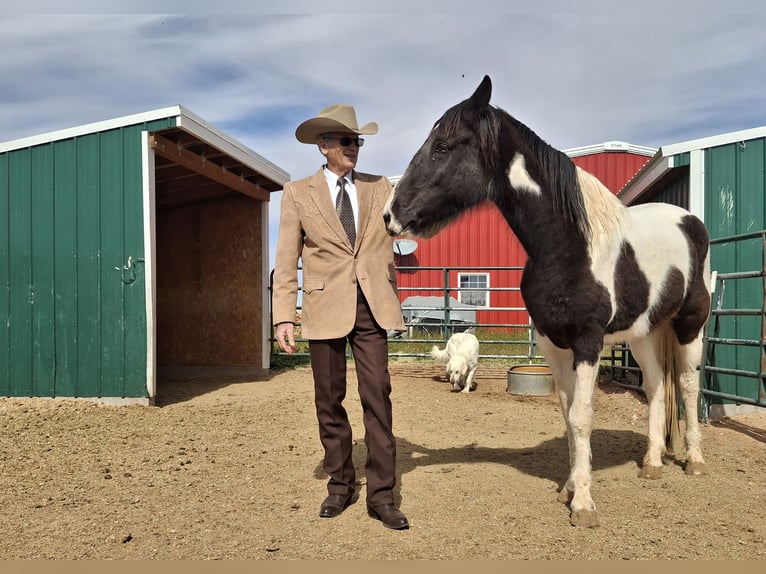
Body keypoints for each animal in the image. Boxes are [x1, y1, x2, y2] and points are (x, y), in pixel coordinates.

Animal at [384, 75, 711, 527]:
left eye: (443, 147)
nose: (390, 215)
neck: (569, 244)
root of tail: (689, 221)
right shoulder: (552, 343)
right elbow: (566, 413)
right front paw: (570, 488)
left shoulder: (588, 341)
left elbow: (582, 416)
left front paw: (584, 504)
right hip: (645, 334)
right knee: (656, 387)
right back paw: (652, 463)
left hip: (689, 325)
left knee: (688, 384)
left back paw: (694, 461)